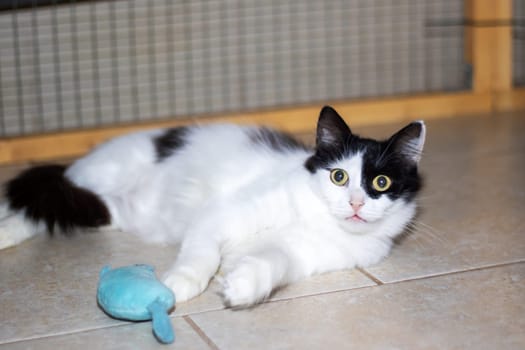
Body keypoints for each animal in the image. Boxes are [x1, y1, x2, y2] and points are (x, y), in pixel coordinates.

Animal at [0, 106, 424, 306]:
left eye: (381, 184)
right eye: (338, 176)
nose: (355, 203)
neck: (318, 220)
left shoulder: (301, 254)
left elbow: (271, 263)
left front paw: (243, 287)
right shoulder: (221, 215)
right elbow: (201, 256)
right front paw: (179, 284)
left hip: (113, 214)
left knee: (47, 210)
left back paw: (4, 233)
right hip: (102, 174)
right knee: (42, 200)